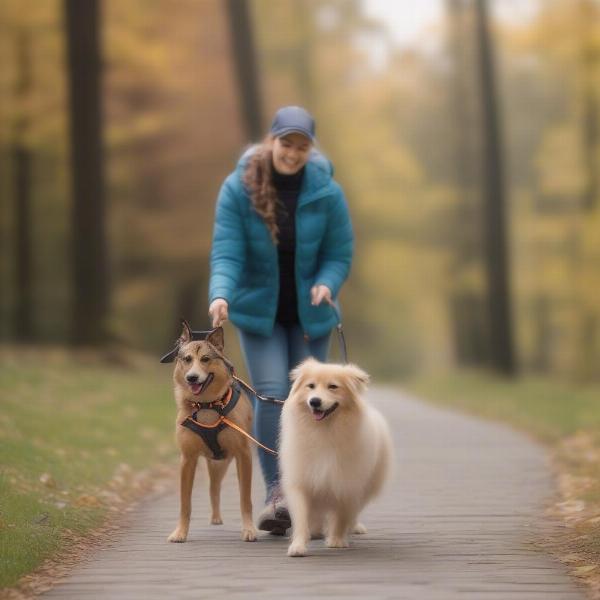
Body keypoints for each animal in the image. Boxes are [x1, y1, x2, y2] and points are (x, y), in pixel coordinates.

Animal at [168, 324, 256, 544]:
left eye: (206, 359)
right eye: (187, 359)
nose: (192, 377)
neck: (207, 406)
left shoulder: (244, 455)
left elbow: (245, 498)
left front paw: (249, 529)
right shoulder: (187, 459)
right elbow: (185, 503)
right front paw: (180, 532)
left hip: (227, 461)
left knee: (218, 487)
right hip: (216, 463)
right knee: (213, 487)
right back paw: (215, 518)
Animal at [280, 356, 394, 556]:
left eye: (333, 386)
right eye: (310, 386)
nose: (314, 401)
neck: (324, 431)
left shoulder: (346, 482)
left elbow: (341, 514)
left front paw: (336, 540)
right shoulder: (301, 479)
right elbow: (301, 516)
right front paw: (298, 546)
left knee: (353, 511)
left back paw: (352, 527)